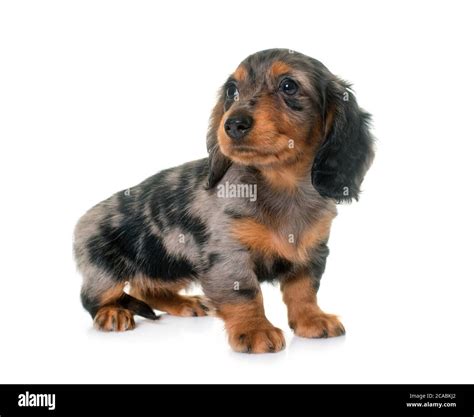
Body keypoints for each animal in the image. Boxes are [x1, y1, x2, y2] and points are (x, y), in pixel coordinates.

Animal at [74, 50, 376, 352]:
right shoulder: (228, 253)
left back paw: (183, 303)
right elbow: (246, 293)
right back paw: (112, 312)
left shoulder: (312, 251)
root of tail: (82, 221)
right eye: (232, 90)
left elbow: (303, 289)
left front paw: (311, 319)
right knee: (92, 298)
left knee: (145, 288)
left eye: (289, 86)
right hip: (106, 272)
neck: (283, 185)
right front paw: (255, 329)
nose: (233, 124)